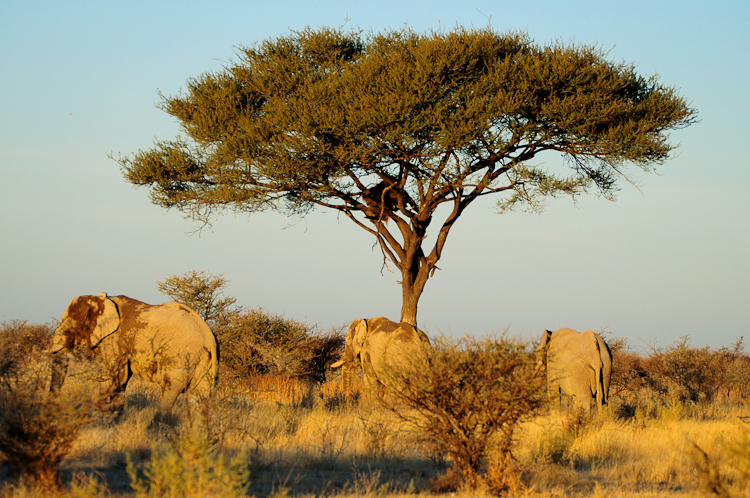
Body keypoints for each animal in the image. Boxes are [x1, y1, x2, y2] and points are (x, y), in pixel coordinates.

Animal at [48, 294, 219, 418]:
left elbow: (117, 376)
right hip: (206, 364)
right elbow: (121, 380)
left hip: (179, 358)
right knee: (201, 398)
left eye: (69, 327)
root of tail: (209, 338)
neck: (101, 300)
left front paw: (107, 409)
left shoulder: (115, 339)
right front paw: (115, 414)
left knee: (170, 390)